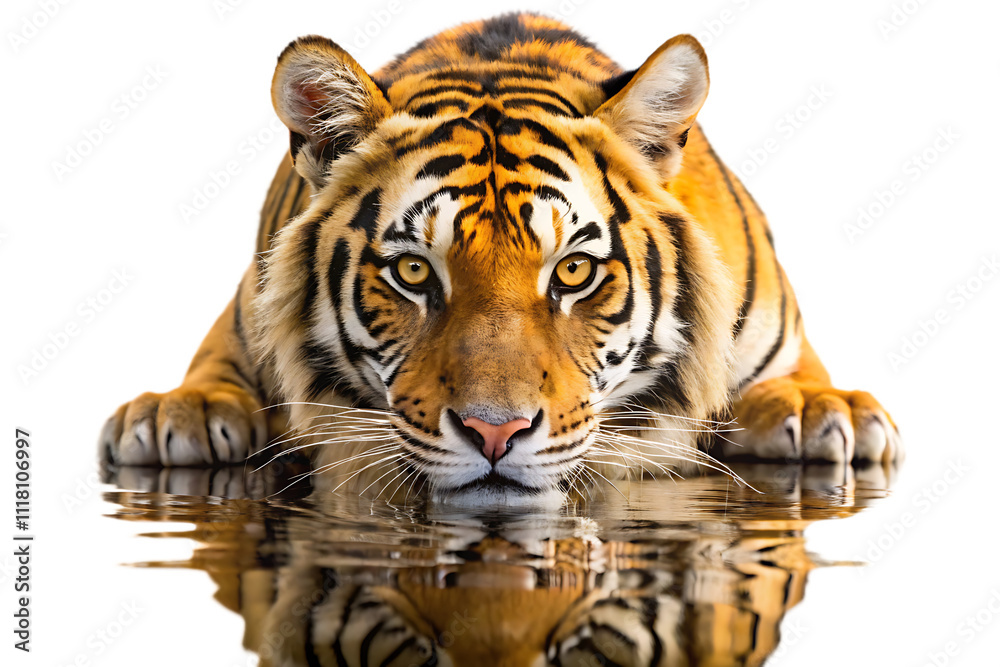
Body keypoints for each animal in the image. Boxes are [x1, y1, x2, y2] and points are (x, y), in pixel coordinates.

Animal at [100, 13, 902, 506]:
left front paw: (820, 408)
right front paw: (180, 411)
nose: (495, 434)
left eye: (574, 272)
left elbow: (796, 380)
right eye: (413, 272)